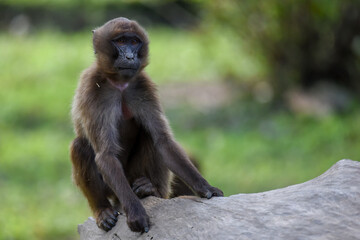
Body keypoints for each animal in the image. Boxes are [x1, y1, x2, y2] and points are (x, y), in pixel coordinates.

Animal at [70, 17, 222, 234]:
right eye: (120, 41)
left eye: (134, 42)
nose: (129, 56)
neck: (120, 84)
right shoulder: (94, 90)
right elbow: (106, 155)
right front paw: (136, 213)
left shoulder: (143, 86)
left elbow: (163, 141)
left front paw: (206, 188)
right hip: (115, 188)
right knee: (80, 146)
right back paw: (103, 210)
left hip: (134, 175)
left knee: (150, 136)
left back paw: (151, 189)